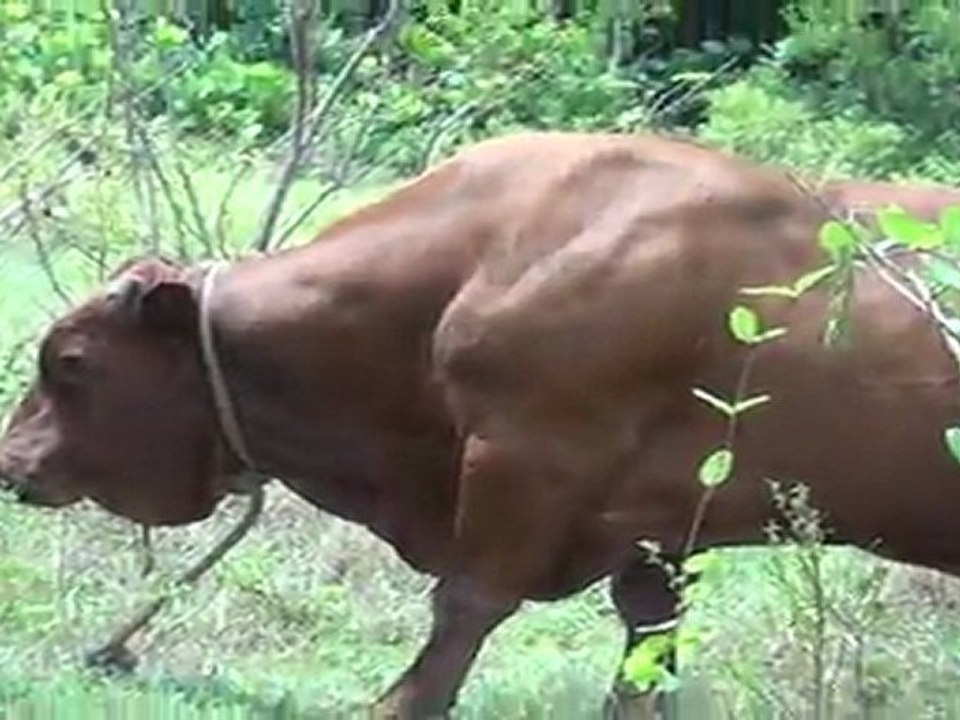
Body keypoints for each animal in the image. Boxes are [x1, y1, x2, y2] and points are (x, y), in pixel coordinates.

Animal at [2, 131, 960, 719]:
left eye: (69, 359)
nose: (10, 457)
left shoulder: (524, 465)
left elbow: (455, 627)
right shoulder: (656, 527)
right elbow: (644, 658)